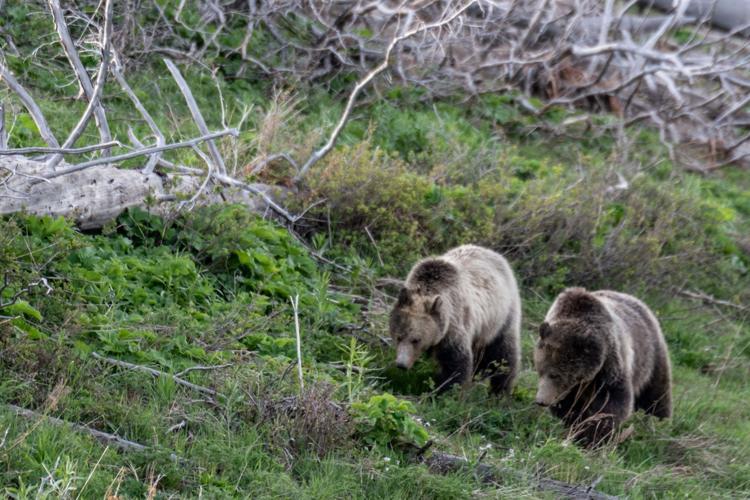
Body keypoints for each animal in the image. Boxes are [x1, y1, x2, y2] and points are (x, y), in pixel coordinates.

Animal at [389, 244, 522, 395]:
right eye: (398, 337)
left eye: (416, 340)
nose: (401, 364)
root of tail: (493, 253)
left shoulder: (454, 324)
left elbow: (456, 362)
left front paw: (447, 390)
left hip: (501, 316)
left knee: (504, 353)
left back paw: (500, 390)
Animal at [534, 287, 672, 447]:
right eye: (540, 371)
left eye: (555, 374)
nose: (541, 401)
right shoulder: (573, 388)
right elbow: (569, 407)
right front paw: (573, 425)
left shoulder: (610, 365)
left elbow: (611, 403)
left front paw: (592, 436)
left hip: (650, 356)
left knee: (656, 393)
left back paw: (660, 421)